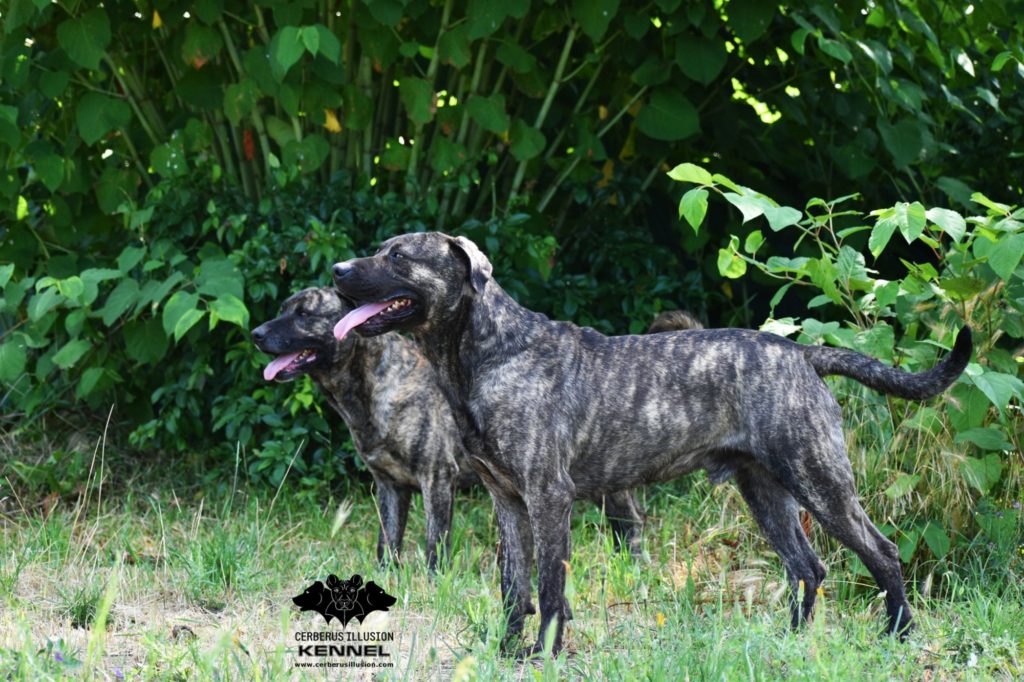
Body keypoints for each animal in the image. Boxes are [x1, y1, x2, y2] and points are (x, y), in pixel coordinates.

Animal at [250, 286, 643, 569]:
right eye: (283, 309)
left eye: (304, 314)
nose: (256, 333)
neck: (375, 383)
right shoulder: (389, 486)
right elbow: (386, 544)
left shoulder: (436, 478)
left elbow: (434, 544)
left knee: (630, 523)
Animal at [331, 232, 970, 655]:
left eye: (397, 255)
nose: (337, 270)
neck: (488, 352)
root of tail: (803, 354)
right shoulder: (506, 501)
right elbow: (515, 586)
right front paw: (509, 649)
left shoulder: (547, 496)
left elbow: (549, 584)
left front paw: (543, 653)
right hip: (766, 492)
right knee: (807, 567)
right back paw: (788, 641)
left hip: (821, 482)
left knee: (881, 552)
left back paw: (898, 634)